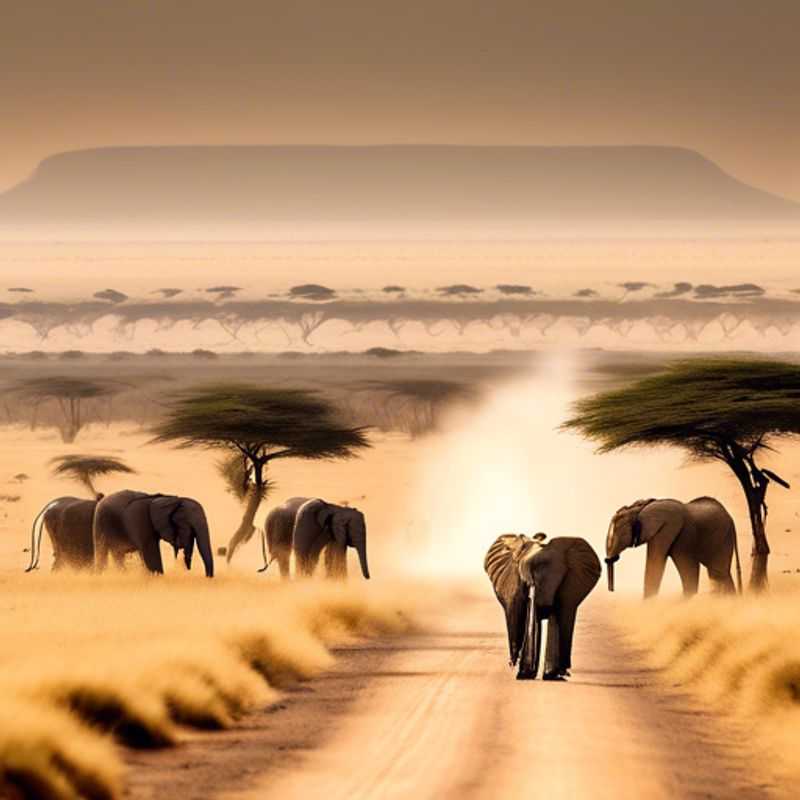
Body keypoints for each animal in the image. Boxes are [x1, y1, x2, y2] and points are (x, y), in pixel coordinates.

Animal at [608, 496, 744, 596]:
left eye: (619, 530)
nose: (611, 590)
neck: (643, 506)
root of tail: (730, 517)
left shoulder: (669, 530)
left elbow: (661, 563)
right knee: (718, 574)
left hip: (721, 536)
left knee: (719, 572)